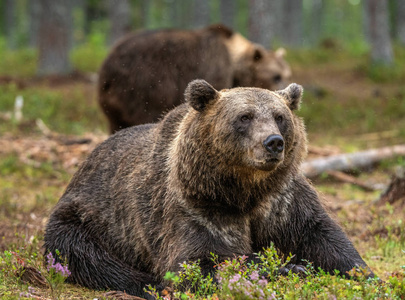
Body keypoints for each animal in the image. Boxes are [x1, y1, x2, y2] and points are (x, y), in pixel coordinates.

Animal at [45, 79, 372, 298]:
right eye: (245, 117)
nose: (273, 142)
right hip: (86, 217)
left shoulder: (281, 199)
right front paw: (287, 269)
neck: (244, 190)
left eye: (280, 117)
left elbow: (323, 237)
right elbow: (198, 263)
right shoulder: (197, 205)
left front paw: (364, 275)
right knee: (86, 256)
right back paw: (145, 283)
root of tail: (88, 158)